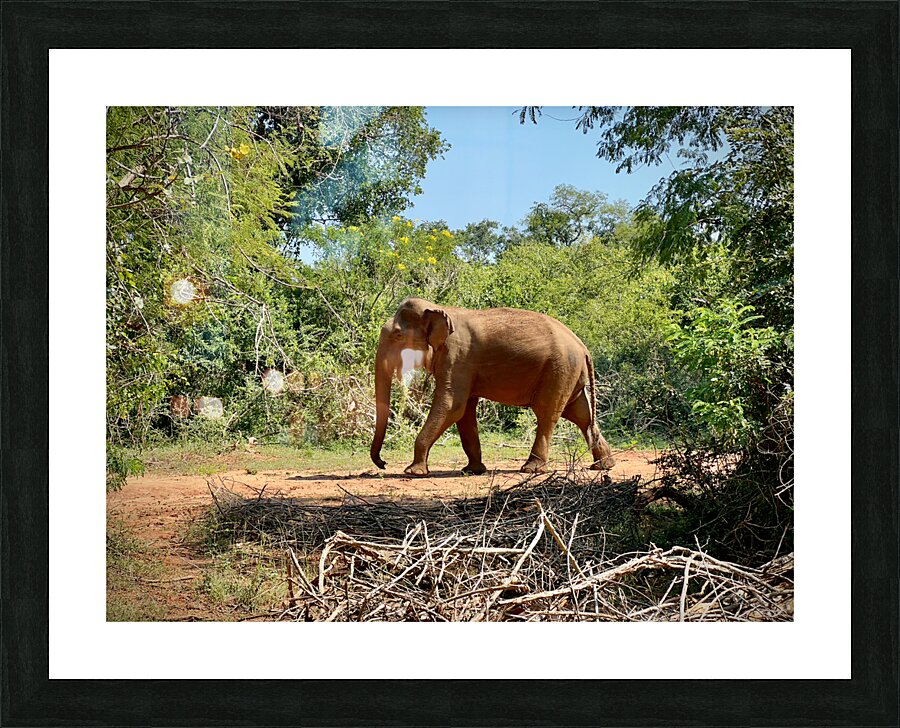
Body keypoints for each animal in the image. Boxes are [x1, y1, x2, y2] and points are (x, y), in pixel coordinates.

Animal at [370, 297, 616, 476]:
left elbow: (452, 406)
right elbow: (464, 411)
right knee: (580, 413)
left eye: (398, 335)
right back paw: (604, 465)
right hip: (569, 374)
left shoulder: (457, 357)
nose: (383, 463)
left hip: (559, 370)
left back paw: (531, 469)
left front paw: (413, 472)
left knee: (547, 412)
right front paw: (472, 471)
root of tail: (583, 347)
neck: (440, 309)